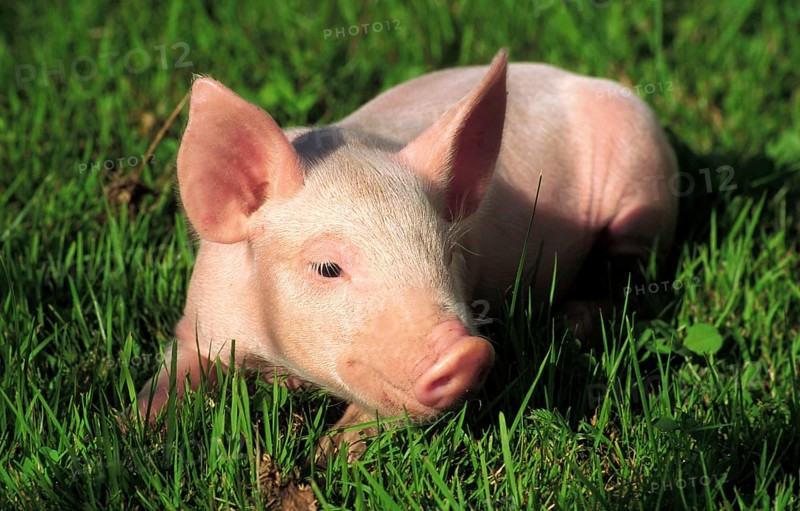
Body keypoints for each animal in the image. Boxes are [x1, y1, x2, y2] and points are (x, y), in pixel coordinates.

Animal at [136, 49, 677, 457]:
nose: (467, 352)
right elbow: (169, 377)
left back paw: (569, 323)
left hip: (644, 189)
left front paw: (327, 456)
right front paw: (132, 430)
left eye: (446, 255)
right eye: (327, 268)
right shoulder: (200, 316)